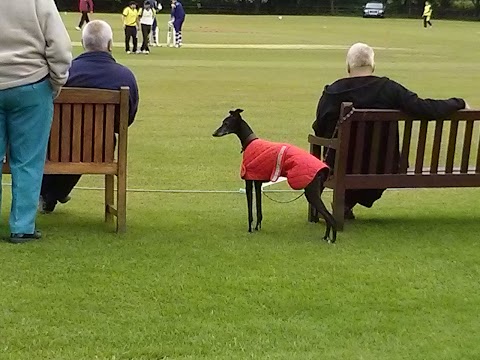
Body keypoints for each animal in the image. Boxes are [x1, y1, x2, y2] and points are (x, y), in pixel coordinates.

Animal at [212, 109, 336, 243]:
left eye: (226, 123)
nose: (214, 133)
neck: (250, 142)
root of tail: (324, 168)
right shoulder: (257, 182)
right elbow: (259, 209)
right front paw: (257, 227)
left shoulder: (248, 181)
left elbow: (250, 211)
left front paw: (250, 229)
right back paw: (327, 237)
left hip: (311, 192)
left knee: (329, 217)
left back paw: (331, 239)